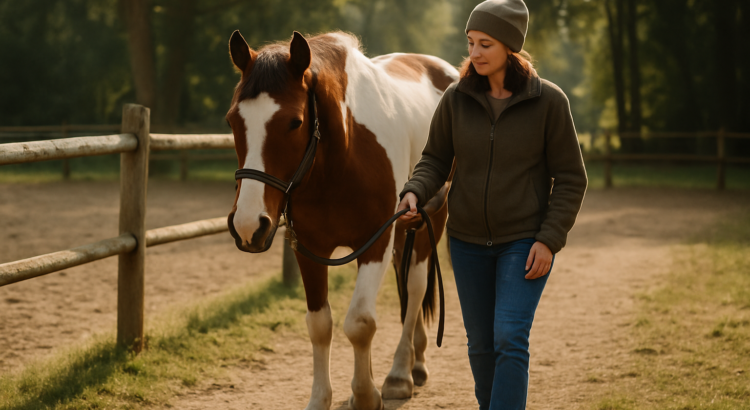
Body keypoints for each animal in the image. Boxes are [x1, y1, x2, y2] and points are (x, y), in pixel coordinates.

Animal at [225, 30, 458, 410]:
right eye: (232, 120)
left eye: (295, 122)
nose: (247, 225)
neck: (339, 158)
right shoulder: (308, 249)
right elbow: (320, 325)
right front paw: (322, 398)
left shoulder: (376, 242)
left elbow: (360, 323)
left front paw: (365, 395)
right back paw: (416, 361)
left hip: (431, 220)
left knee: (415, 286)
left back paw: (400, 374)